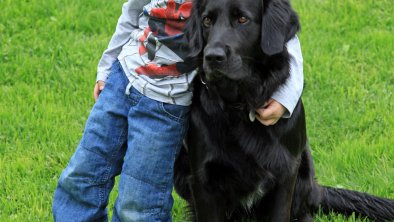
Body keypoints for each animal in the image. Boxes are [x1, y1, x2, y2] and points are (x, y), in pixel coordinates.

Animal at [174, 0, 394, 221]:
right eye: (206, 20)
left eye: (242, 19)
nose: (212, 57)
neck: (241, 106)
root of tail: (316, 189)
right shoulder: (204, 181)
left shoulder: (285, 174)